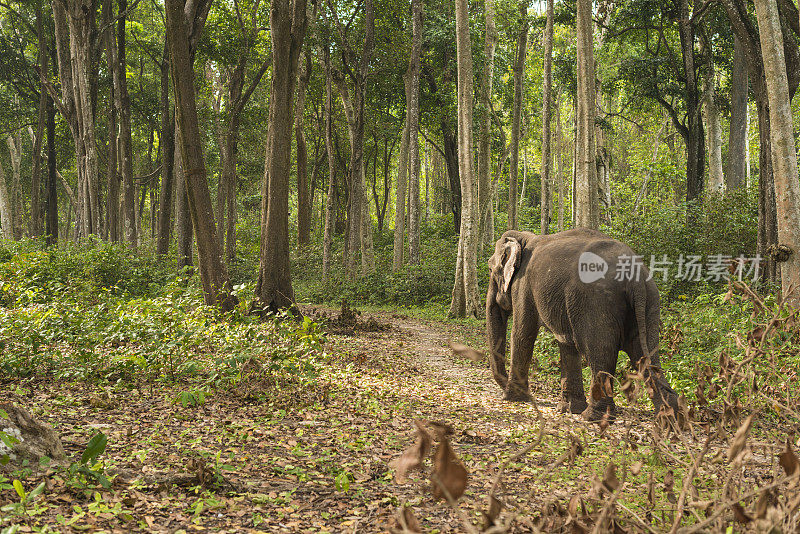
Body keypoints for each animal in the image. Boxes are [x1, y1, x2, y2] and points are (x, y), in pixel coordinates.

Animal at [484, 229, 680, 422]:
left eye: (490, 268)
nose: (503, 389)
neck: (525, 238)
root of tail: (636, 277)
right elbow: (565, 343)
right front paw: (568, 409)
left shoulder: (523, 285)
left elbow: (522, 333)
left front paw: (512, 399)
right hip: (650, 302)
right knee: (645, 354)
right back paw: (670, 418)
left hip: (596, 302)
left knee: (599, 352)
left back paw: (593, 416)